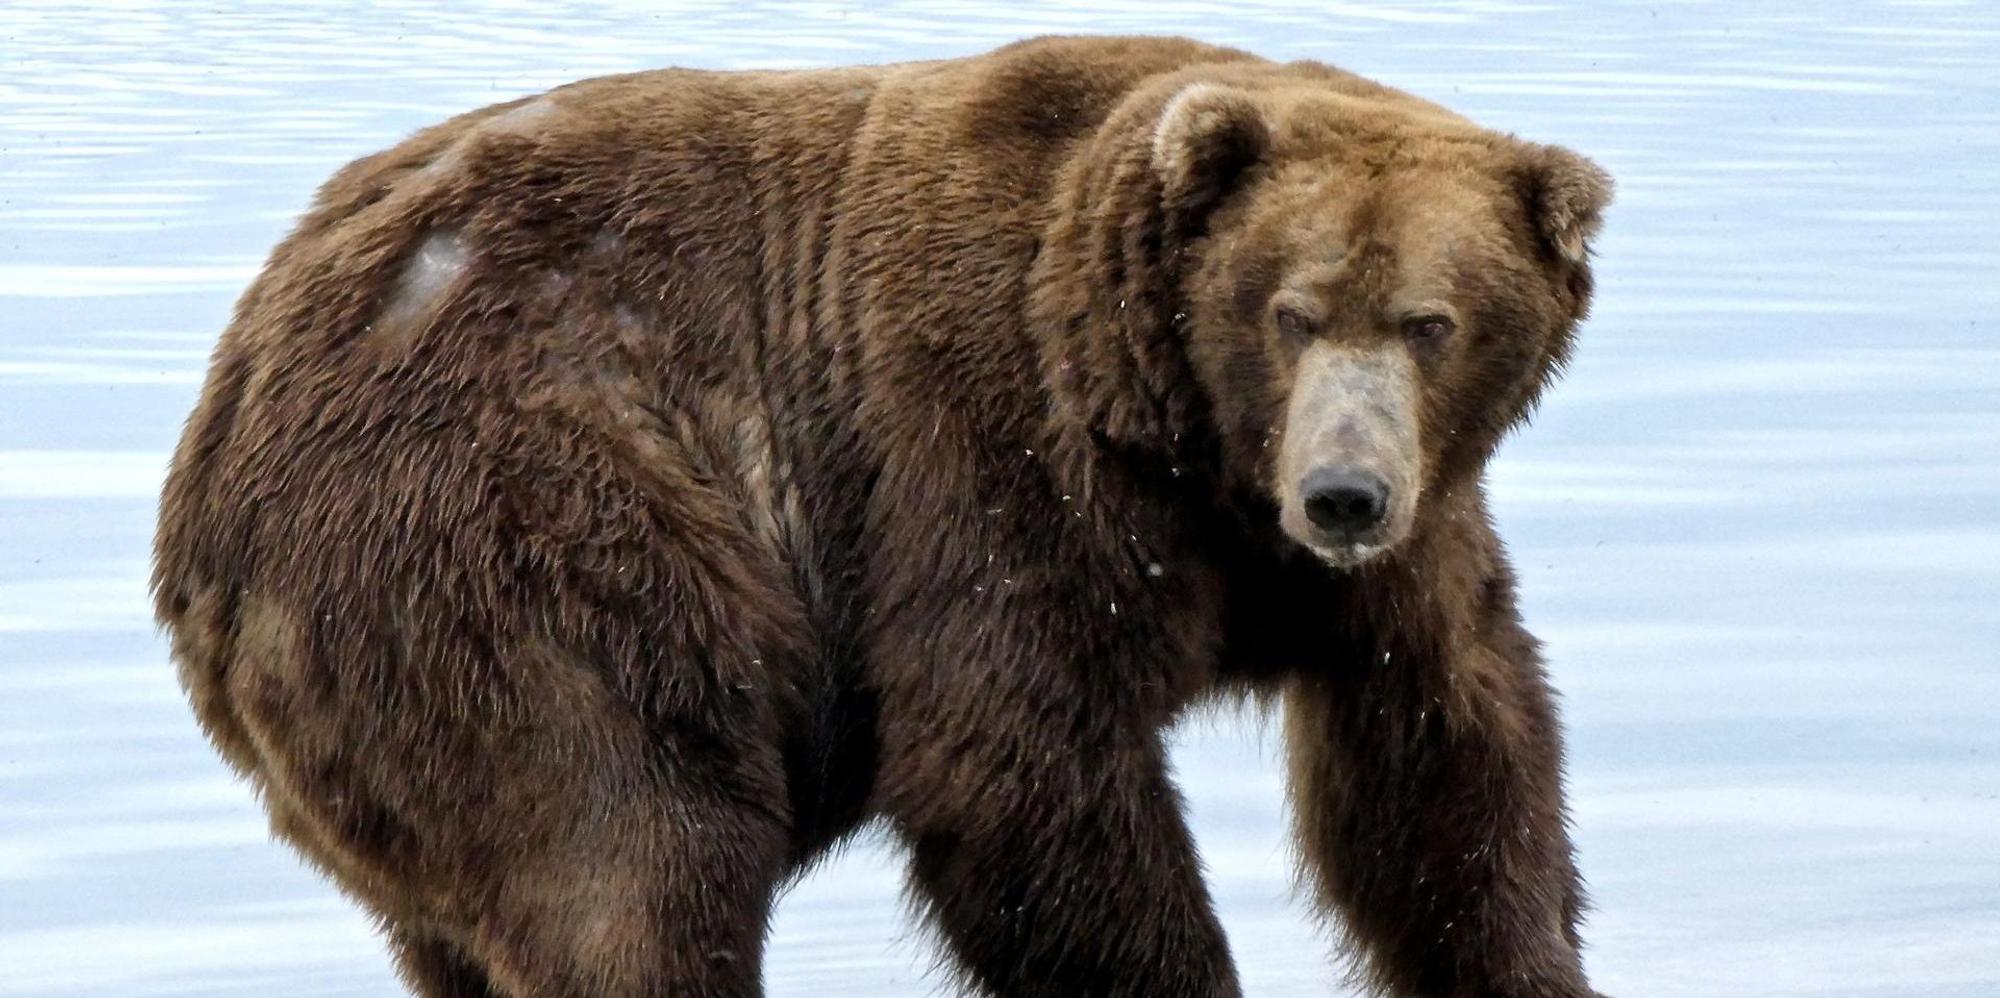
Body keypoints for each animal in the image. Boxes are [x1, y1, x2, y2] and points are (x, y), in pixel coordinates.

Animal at [153, 34, 1612, 998]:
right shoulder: (988, 442)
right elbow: (1018, 757)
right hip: (518, 530)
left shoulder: (1397, 547)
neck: (1188, 450)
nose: (1343, 492)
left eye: (1431, 321)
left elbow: (1445, 760)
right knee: (633, 854)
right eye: (1292, 310)